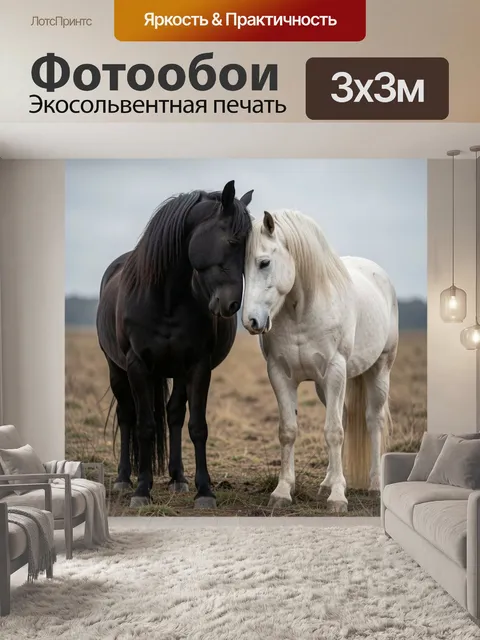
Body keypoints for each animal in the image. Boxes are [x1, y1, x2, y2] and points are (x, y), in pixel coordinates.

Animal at [96, 181, 253, 508]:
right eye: (232, 241)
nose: (232, 305)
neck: (166, 297)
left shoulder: (197, 365)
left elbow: (196, 426)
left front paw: (204, 491)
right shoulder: (137, 365)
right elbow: (144, 426)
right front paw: (142, 490)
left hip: (177, 372)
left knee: (174, 415)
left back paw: (178, 478)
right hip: (116, 369)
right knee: (127, 416)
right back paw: (123, 478)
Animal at [241, 209, 398, 513]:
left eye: (264, 262)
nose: (250, 321)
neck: (301, 311)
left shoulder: (335, 371)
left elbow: (334, 432)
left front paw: (338, 498)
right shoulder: (280, 374)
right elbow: (288, 431)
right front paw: (282, 491)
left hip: (379, 371)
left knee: (373, 421)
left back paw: (374, 485)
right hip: (324, 386)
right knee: (345, 416)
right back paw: (327, 482)